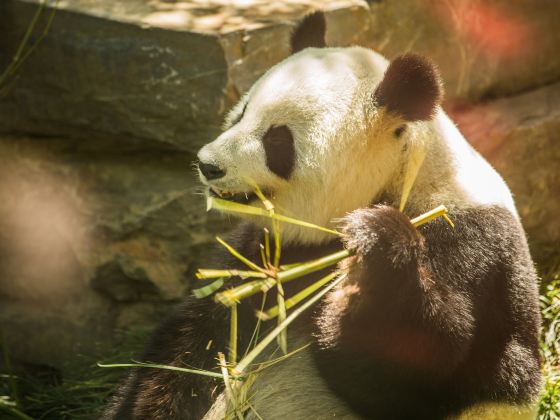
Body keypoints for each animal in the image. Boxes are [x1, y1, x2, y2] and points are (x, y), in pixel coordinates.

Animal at [103, 10, 540, 420]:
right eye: (241, 113)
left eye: (277, 141)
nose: (209, 165)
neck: (403, 177)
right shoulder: (261, 253)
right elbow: (194, 344)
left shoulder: (470, 246)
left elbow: (419, 367)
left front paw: (376, 248)